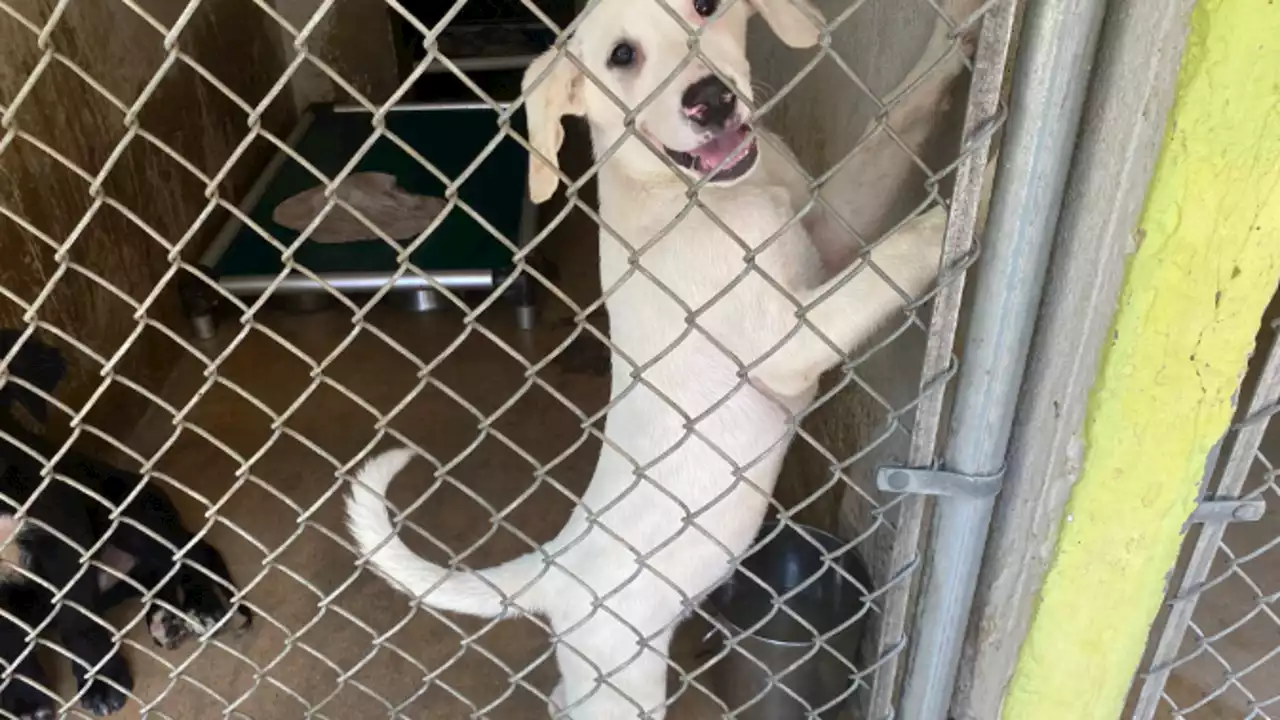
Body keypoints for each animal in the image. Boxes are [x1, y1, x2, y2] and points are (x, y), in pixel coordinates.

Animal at [0, 330, 250, 712]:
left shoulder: (60, 535)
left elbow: (77, 620)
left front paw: (101, 683)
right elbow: (10, 642)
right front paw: (25, 700)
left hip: (129, 514)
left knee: (194, 553)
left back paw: (201, 607)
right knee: (156, 573)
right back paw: (165, 618)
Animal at [345, 2, 962, 712]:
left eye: (706, 8)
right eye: (621, 56)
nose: (711, 99)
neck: (694, 197)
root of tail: (555, 568)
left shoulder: (829, 235)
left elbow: (901, 115)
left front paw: (961, 37)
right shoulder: (788, 341)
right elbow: (893, 258)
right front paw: (952, 219)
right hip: (625, 686)